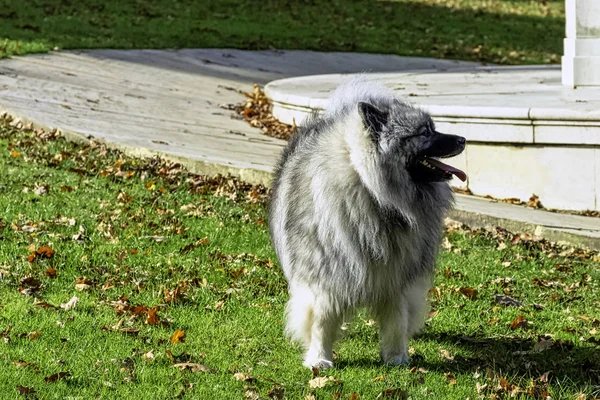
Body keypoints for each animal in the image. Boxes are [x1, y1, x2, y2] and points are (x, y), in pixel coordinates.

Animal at [270, 78, 466, 368]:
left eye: (432, 128)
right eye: (424, 132)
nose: (463, 139)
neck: (373, 193)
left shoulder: (395, 277)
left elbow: (397, 320)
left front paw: (396, 358)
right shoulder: (326, 276)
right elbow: (321, 321)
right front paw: (320, 359)